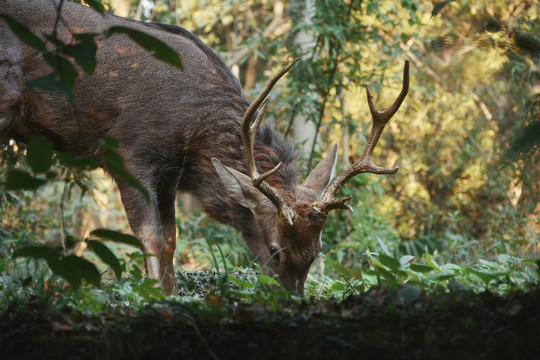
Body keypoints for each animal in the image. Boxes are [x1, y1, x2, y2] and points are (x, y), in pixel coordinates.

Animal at [1, 0, 410, 294]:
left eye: (318, 251)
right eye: (275, 249)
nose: (293, 298)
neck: (193, 133)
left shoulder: (169, 173)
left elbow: (170, 239)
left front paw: (169, 294)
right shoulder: (129, 151)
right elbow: (149, 236)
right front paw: (151, 297)